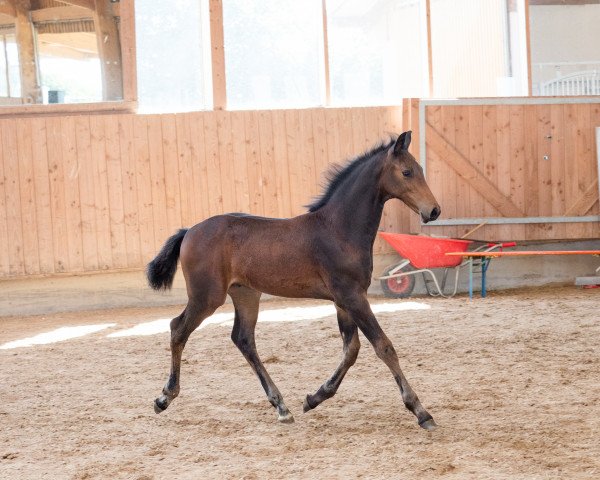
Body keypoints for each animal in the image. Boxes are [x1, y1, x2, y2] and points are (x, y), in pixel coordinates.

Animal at [147, 131, 440, 432]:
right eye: (406, 172)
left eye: (419, 170)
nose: (433, 210)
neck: (338, 228)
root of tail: (189, 231)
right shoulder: (352, 297)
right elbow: (383, 346)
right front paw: (421, 411)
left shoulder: (344, 300)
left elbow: (351, 350)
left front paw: (314, 398)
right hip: (207, 297)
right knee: (178, 328)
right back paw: (164, 397)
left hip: (246, 294)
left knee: (243, 339)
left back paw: (281, 406)